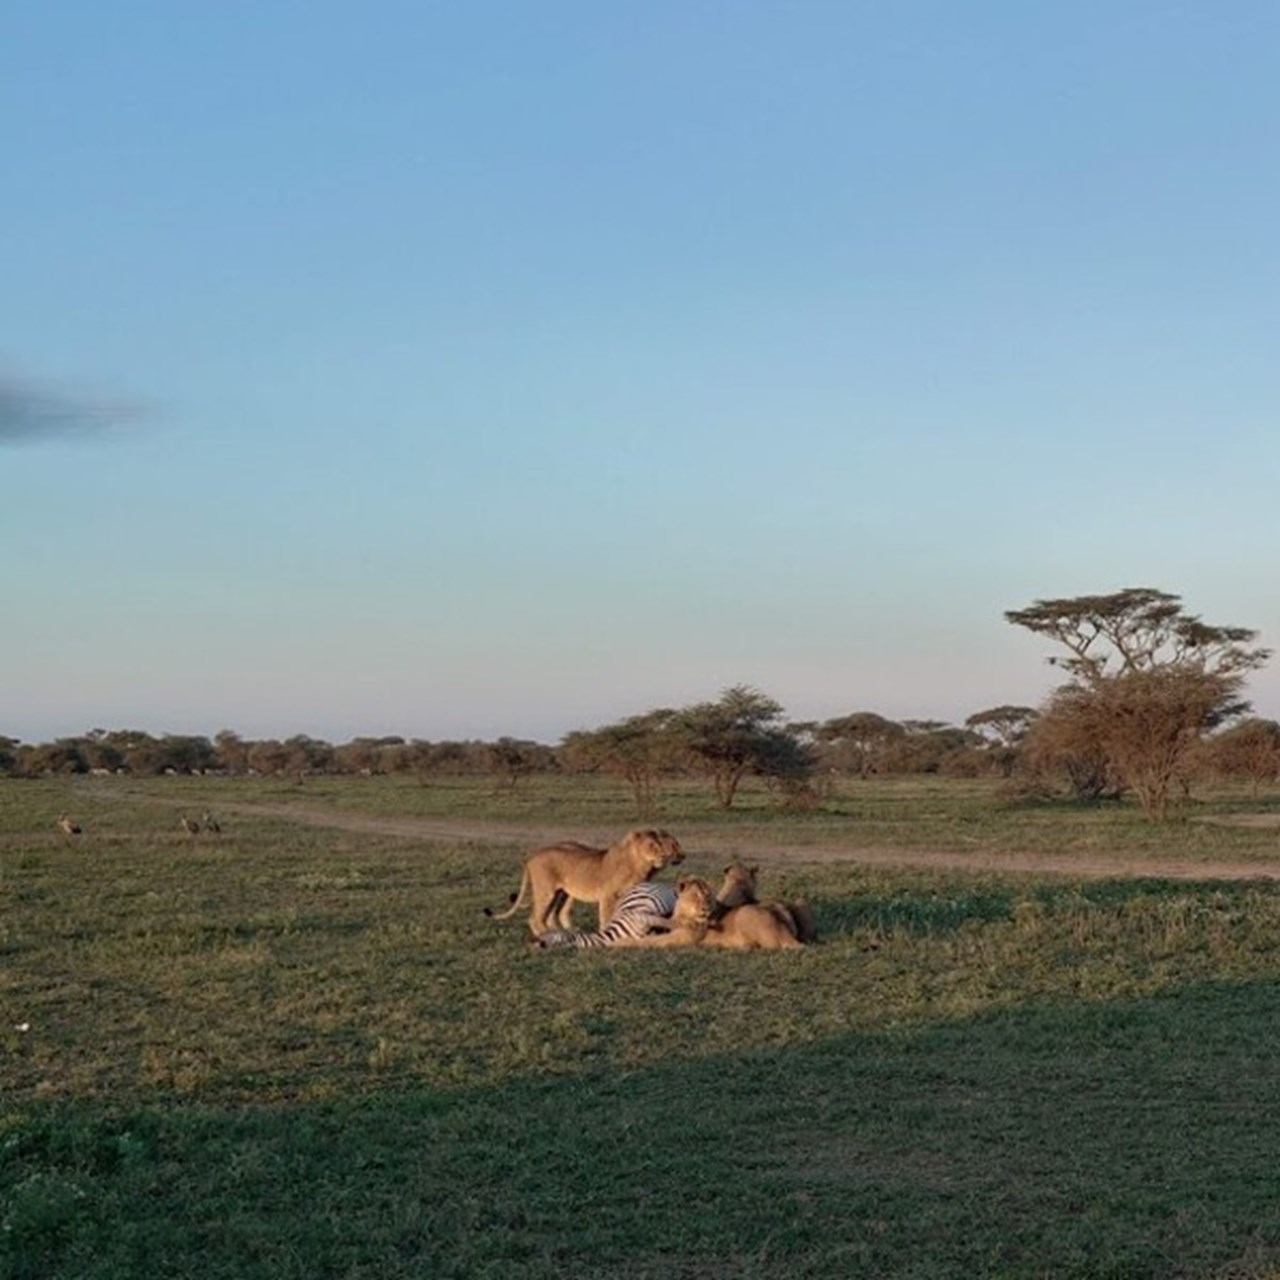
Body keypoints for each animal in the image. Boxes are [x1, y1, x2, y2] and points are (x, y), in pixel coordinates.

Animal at [481, 824, 686, 936]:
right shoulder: (608, 895)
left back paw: (564, 932)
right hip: (546, 891)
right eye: (652, 845)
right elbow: (607, 917)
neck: (641, 866)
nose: (680, 856)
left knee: (554, 915)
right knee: (535, 918)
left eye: (666, 845)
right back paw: (545, 935)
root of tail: (533, 856)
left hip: (562, 894)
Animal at [532, 880, 680, 952]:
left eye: (550, 934)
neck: (614, 935)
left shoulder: (643, 918)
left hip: (664, 899)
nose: (534, 941)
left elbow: (670, 924)